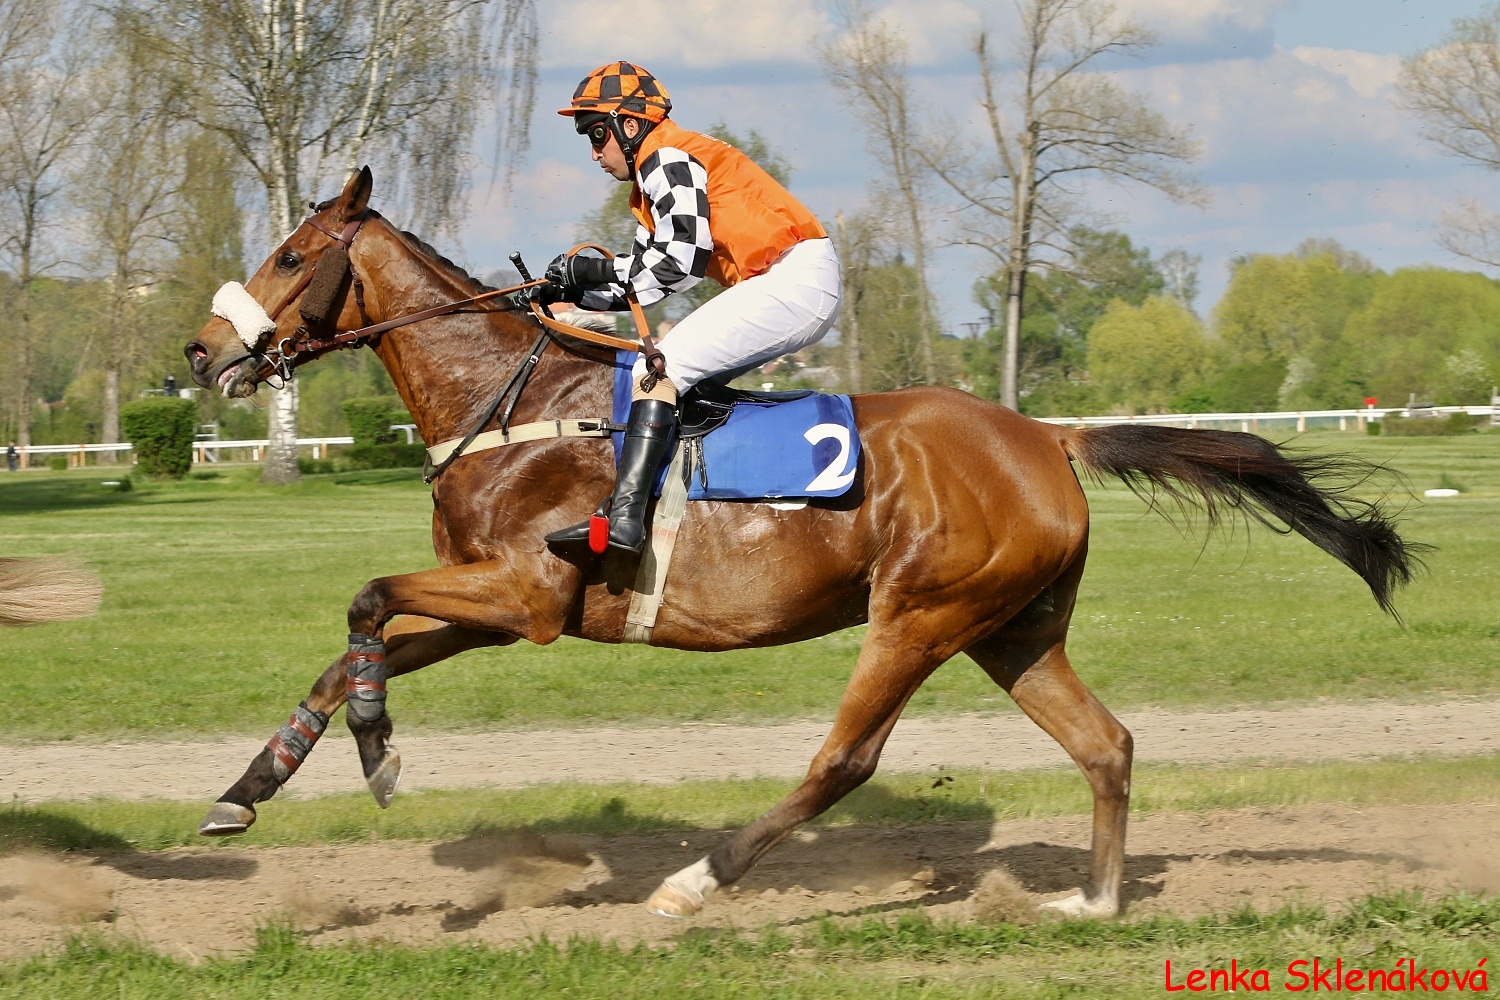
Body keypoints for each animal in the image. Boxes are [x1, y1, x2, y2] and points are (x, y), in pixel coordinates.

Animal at [181, 167, 1410, 917]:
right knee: (1106, 744)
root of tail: (1048, 437)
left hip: (921, 615)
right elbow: (353, 648)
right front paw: (249, 787)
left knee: (845, 760)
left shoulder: (521, 595)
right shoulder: (501, 605)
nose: (201, 353)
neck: (510, 398)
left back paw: (697, 880)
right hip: (1013, 629)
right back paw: (1094, 899)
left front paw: (379, 752)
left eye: (290, 255)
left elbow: (364, 600)